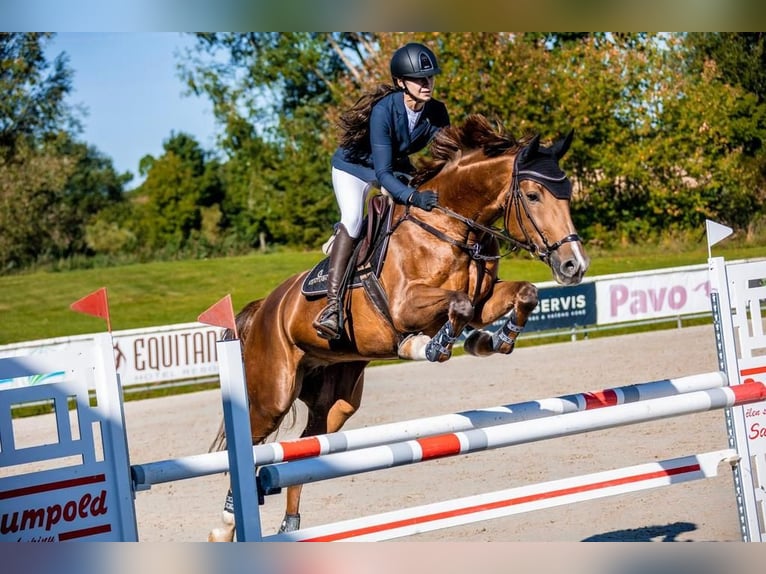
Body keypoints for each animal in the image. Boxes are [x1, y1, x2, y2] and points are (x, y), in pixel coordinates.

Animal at [207, 113, 592, 544]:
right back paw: (225, 526)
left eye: (567, 194)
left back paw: (290, 524)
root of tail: (264, 307)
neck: (450, 226)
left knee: (305, 450)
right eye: (532, 195)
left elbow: (522, 294)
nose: (574, 265)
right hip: (272, 394)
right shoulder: (406, 306)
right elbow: (455, 307)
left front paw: (493, 340)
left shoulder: (484, 302)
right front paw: (434, 345)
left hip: (335, 400)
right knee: (253, 442)